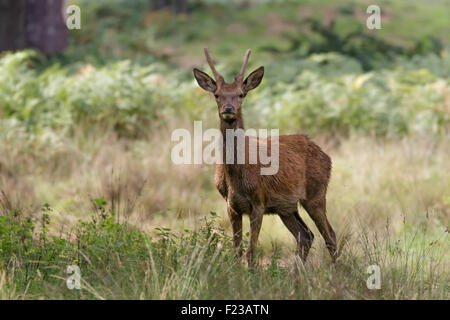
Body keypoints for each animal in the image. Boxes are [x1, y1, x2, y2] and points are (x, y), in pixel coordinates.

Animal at [193, 48, 338, 268]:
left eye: (241, 94)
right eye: (217, 95)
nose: (228, 109)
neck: (237, 179)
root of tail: (326, 156)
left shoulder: (258, 201)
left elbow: (250, 253)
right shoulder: (231, 205)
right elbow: (236, 251)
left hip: (316, 193)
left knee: (330, 235)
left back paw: (339, 271)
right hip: (286, 207)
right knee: (306, 235)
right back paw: (296, 273)